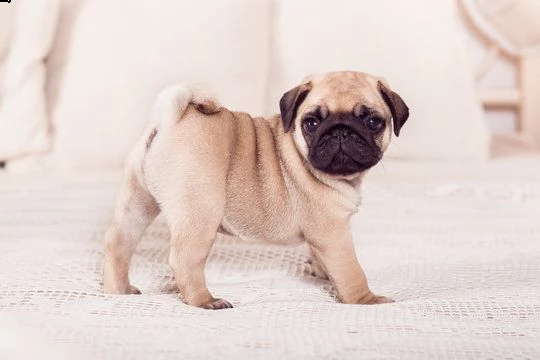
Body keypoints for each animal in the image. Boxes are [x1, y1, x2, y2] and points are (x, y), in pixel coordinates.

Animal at [103, 71, 410, 310]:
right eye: (311, 123)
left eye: (373, 122)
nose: (341, 131)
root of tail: (169, 121)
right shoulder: (333, 233)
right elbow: (350, 270)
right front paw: (365, 300)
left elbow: (321, 258)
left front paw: (321, 274)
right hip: (201, 211)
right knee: (184, 259)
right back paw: (205, 301)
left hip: (137, 200)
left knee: (119, 243)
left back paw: (118, 290)